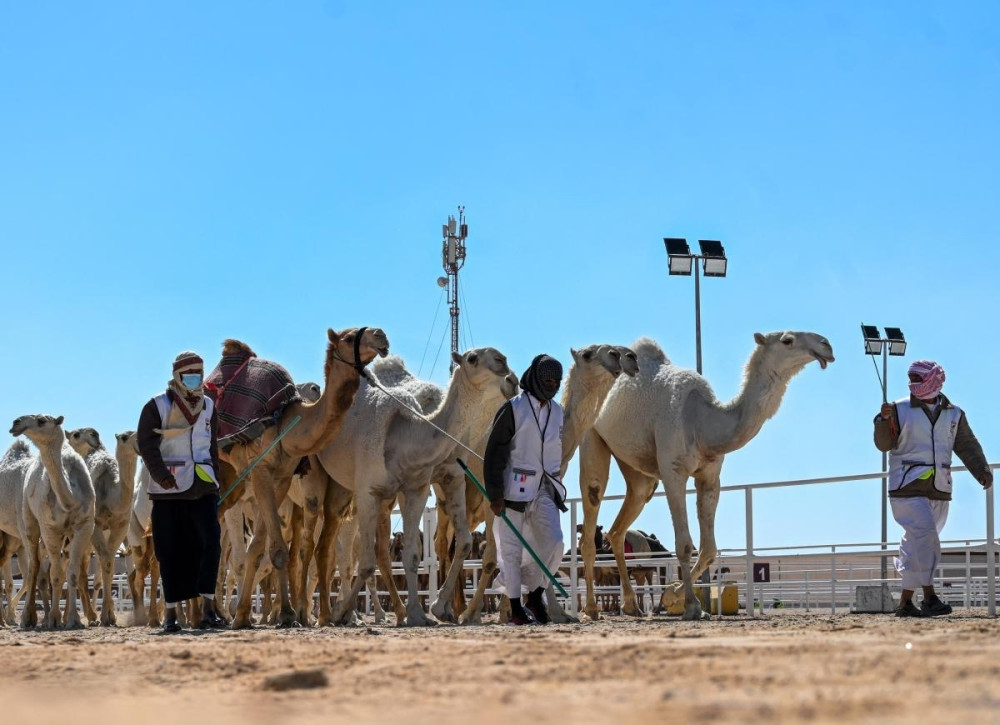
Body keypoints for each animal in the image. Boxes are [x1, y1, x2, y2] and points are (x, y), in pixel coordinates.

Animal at [11, 412, 96, 628]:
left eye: (41, 421)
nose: (16, 423)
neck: (70, 498)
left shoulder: (84, 527)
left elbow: (72, 573)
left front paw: (73, 619)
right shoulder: (50, 528)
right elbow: (55, 575)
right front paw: (54, 619)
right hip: (29, 521)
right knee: (34, 566)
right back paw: (28, 618)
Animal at [65, 428, 134, 624]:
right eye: (75, 435)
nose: (94, 435)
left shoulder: (120, 527)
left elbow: (108, 564)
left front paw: (110, 615)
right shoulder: (95, 525)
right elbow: (105, 561)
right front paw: (105, 616)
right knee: (78, 570)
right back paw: (86, 615)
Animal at [229, 328, 388, 628]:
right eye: (348, 338)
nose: (380, 335)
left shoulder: (334, 501)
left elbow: (324, 555)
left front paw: (328, 614)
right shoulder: (301, 491)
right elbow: (303, 550)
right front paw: (300, 612)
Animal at [314, 348, 516, 624]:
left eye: (503, 358)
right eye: (473, 358)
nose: (512, 379)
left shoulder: (425, 486)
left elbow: (422, 553)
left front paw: (423, 612)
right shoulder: (368, 491)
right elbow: (366, 563)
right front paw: (342, 611)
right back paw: (327, 613)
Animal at [584, 330, 832, 620]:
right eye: (787, 340)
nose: (826, 346)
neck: (702, 422)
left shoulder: (710, 476)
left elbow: (709, 549)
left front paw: (673, 595)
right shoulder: (673, 471)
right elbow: (684, 544)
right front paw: (691, 605)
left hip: (637, 470)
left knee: (618, 527)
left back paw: (631, 605)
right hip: (592, 435)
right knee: (592, 509)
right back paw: (591, 609)